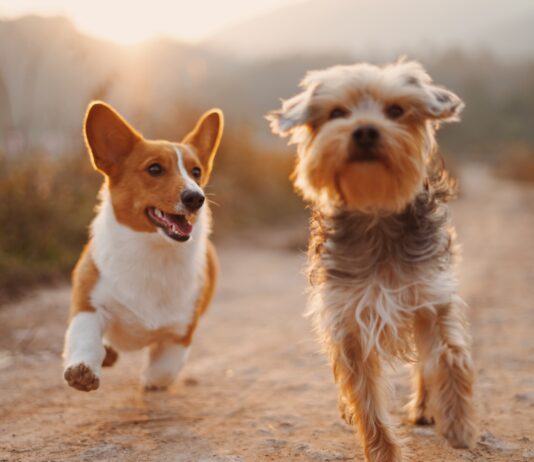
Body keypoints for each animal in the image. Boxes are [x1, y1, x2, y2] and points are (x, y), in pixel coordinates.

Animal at [270, 60, 480, 458]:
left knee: (426, 362)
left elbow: (450, 355)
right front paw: (383, 452)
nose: (365, 130)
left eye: (396, 111)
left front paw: (458, 421)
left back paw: (427, 407)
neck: (375, 212)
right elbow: (365, 397)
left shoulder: (431, 296)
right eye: (337, 113)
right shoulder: (347, 319)